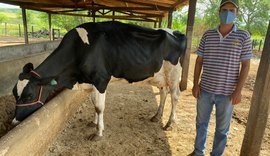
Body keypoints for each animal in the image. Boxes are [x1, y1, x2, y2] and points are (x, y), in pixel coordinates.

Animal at [11, 21, 187, 139]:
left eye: (29, 96)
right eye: (14, 93)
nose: (13, 122)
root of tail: (176, 32)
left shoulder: (101, 80)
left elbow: (99, 107)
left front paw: (98, 132)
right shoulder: (90, 82)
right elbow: (93, 104)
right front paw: (94, 123)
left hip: (174, 74)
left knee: (175, 96)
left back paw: (169, 123)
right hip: (161, 77)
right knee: (164, 93)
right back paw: (156, 116)